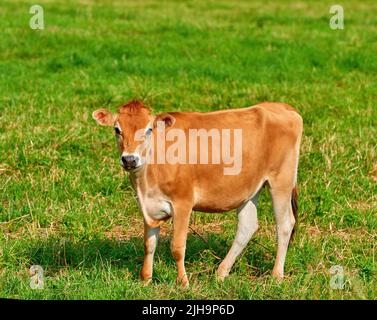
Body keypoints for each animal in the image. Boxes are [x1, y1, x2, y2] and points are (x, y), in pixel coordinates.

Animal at [93, 100, 302, 288]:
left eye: (148, 130)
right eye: (117, 130)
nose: (129, 159)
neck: (146, 181)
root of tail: (281, 106)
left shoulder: (183, 202)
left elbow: (177, 247)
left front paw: (183, 283)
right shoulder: (147, 204)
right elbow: (149, 244)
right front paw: (145, 280)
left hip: (281, 179)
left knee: (285, 224)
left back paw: (276, 276)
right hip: (250, 188)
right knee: (247, 226)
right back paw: (221, 273)